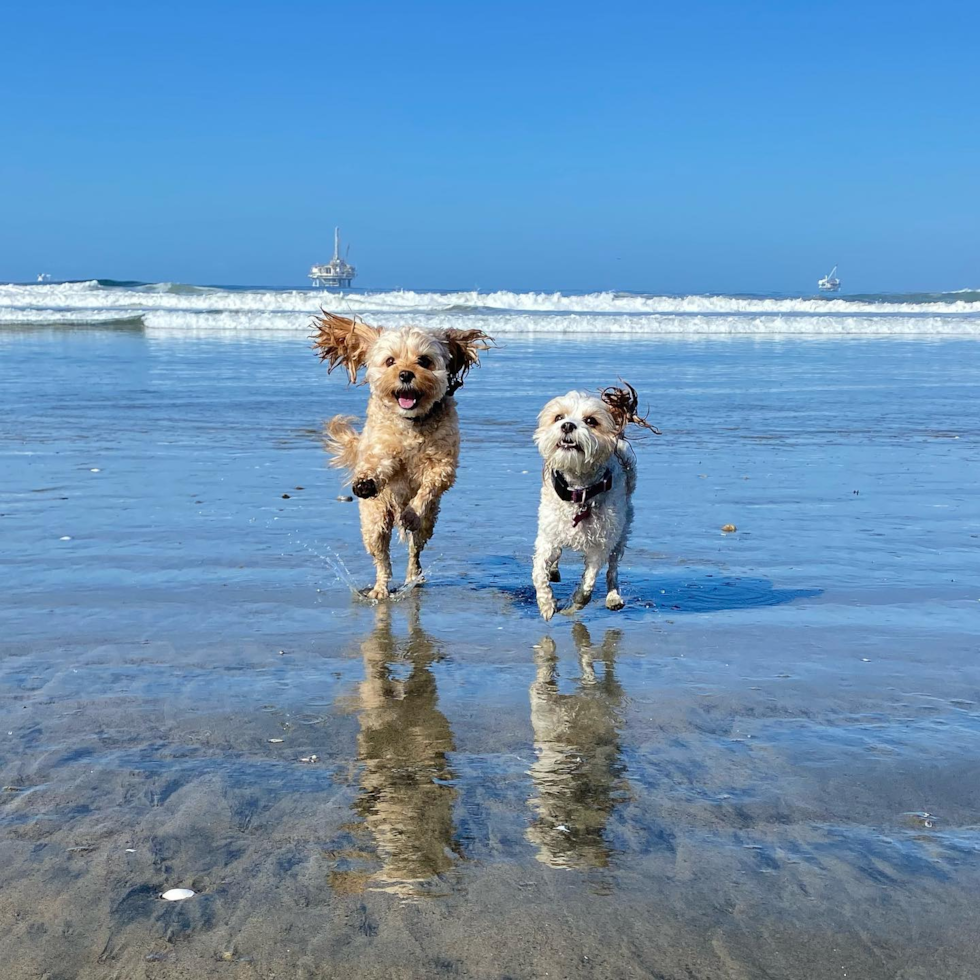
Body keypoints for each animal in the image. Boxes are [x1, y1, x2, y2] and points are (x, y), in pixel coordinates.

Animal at [314, 314, 494, 596]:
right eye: (390, 361)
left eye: (424, 360)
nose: (406, 374)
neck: (411, 423)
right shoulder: (382, 449)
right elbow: (379, 466)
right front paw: (365, 481)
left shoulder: (442, 465)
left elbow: (428, 488)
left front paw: (411, 512)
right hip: (375, 519)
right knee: (381, 557)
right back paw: (380, 588)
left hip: (428, 523)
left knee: (414, 549)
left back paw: (413, 575)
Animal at [528, 382, 660, 620]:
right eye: (559, 417)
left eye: (591, 421)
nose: (567, 425)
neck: (579, 491)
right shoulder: (547, 536)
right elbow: (539, 571)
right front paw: (546, 604)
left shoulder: (601, 544)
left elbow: (589, 583)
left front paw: (573, 605)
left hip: (621, 533)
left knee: (612, 570)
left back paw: (613, 597)